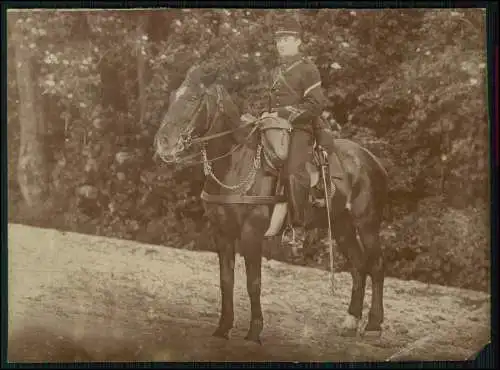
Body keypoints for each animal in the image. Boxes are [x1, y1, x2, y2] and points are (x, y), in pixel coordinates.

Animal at [154, 66, 388, 344]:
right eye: (171, 97)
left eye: (192, 99)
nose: (163, 143)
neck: (236, 161)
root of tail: (371, 159)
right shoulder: (222, 233)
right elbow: (226, 281)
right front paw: (223, 327)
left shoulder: (251, 233)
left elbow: (253, 283)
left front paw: (254, 331)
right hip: (342, 226)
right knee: (358, 265)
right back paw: (351, 321)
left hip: (367, 223)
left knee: (376, 266)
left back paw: (373, 325)